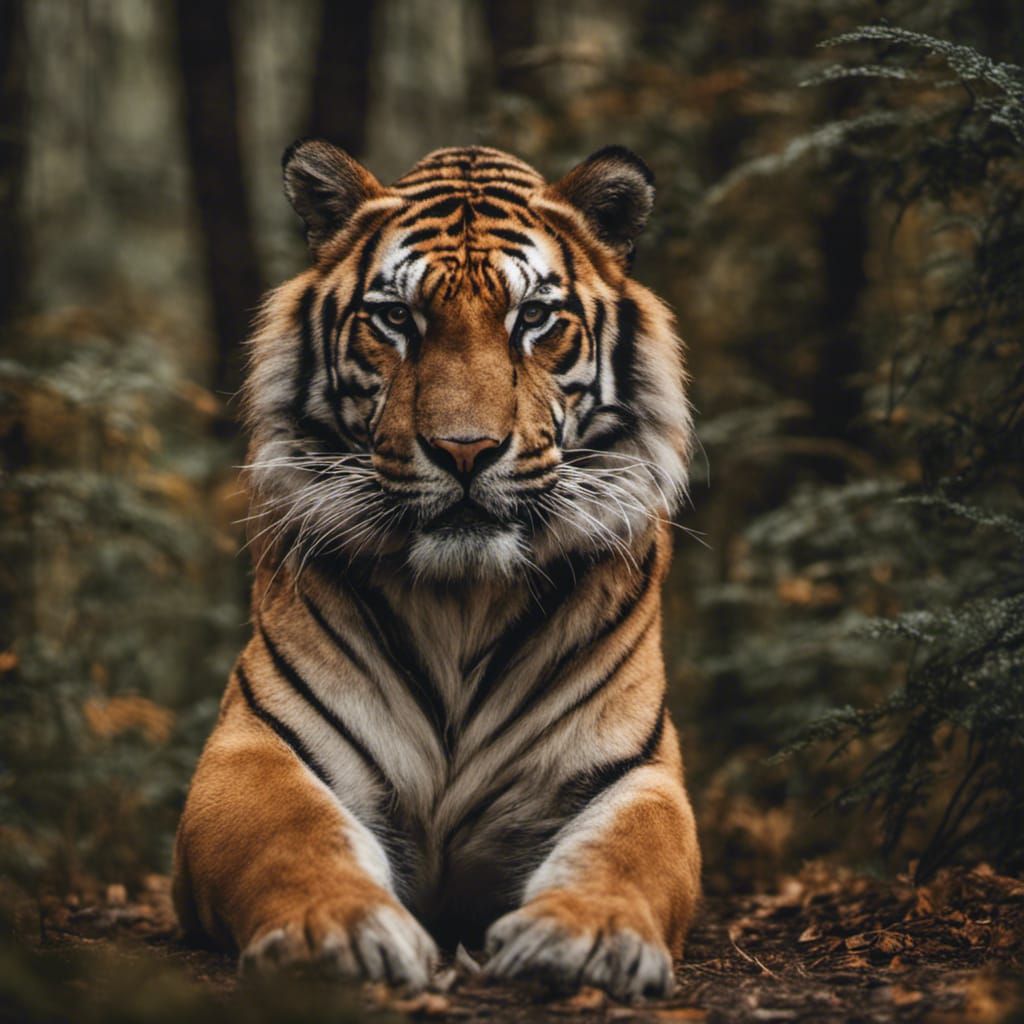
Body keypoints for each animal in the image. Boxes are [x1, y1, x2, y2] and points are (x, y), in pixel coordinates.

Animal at [173, 140, 701, 1001]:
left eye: (534, 319)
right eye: (396, 319)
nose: (464, 450)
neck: (461, 603)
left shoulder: (631, 771)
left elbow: (626, 852)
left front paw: (587, 937)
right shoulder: (254, 746)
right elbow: (296, 834)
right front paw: (339, 932)